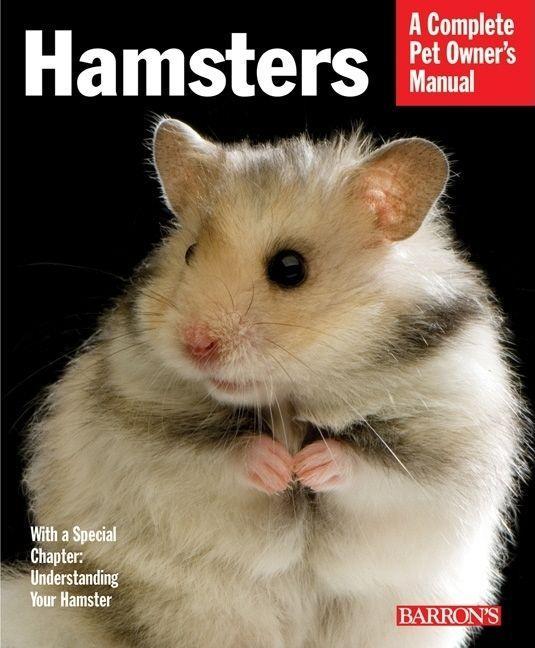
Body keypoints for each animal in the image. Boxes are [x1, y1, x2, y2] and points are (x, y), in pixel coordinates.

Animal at [1, 119, 528, 648]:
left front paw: (308, 466)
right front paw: (279, 469)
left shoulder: (444, 443)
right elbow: (218, 457)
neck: (287, 397)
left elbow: (374, 468)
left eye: (289, 268)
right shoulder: (145, 437)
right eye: (189, 252)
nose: (195, 344)